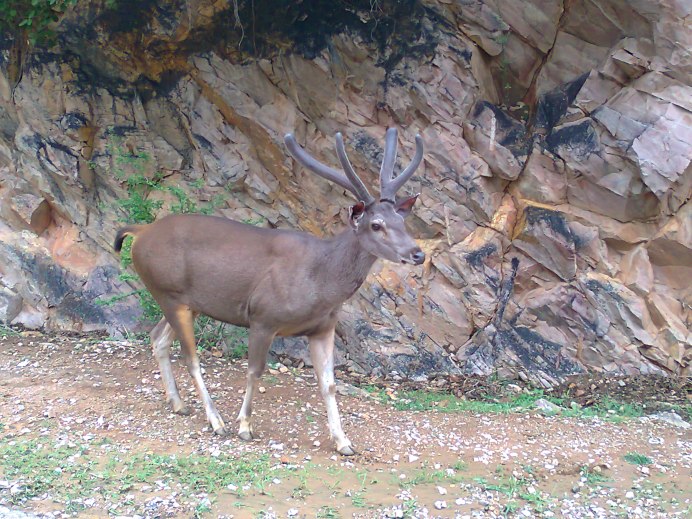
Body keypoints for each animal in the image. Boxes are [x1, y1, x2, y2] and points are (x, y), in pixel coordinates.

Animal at [113, 127, 424, 456]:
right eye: (376, 224)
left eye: (401, 220)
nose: (417, 253)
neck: (320, 283)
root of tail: (140, 232)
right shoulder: (263, 316)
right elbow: (254, 371)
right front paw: (244, 426)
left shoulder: (323, 327)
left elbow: (328, 384)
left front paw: (343, 442)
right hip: (169, 292)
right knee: (191, 357)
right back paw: (216, 421)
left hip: (186, 301)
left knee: (157, 338)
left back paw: (178, 404)